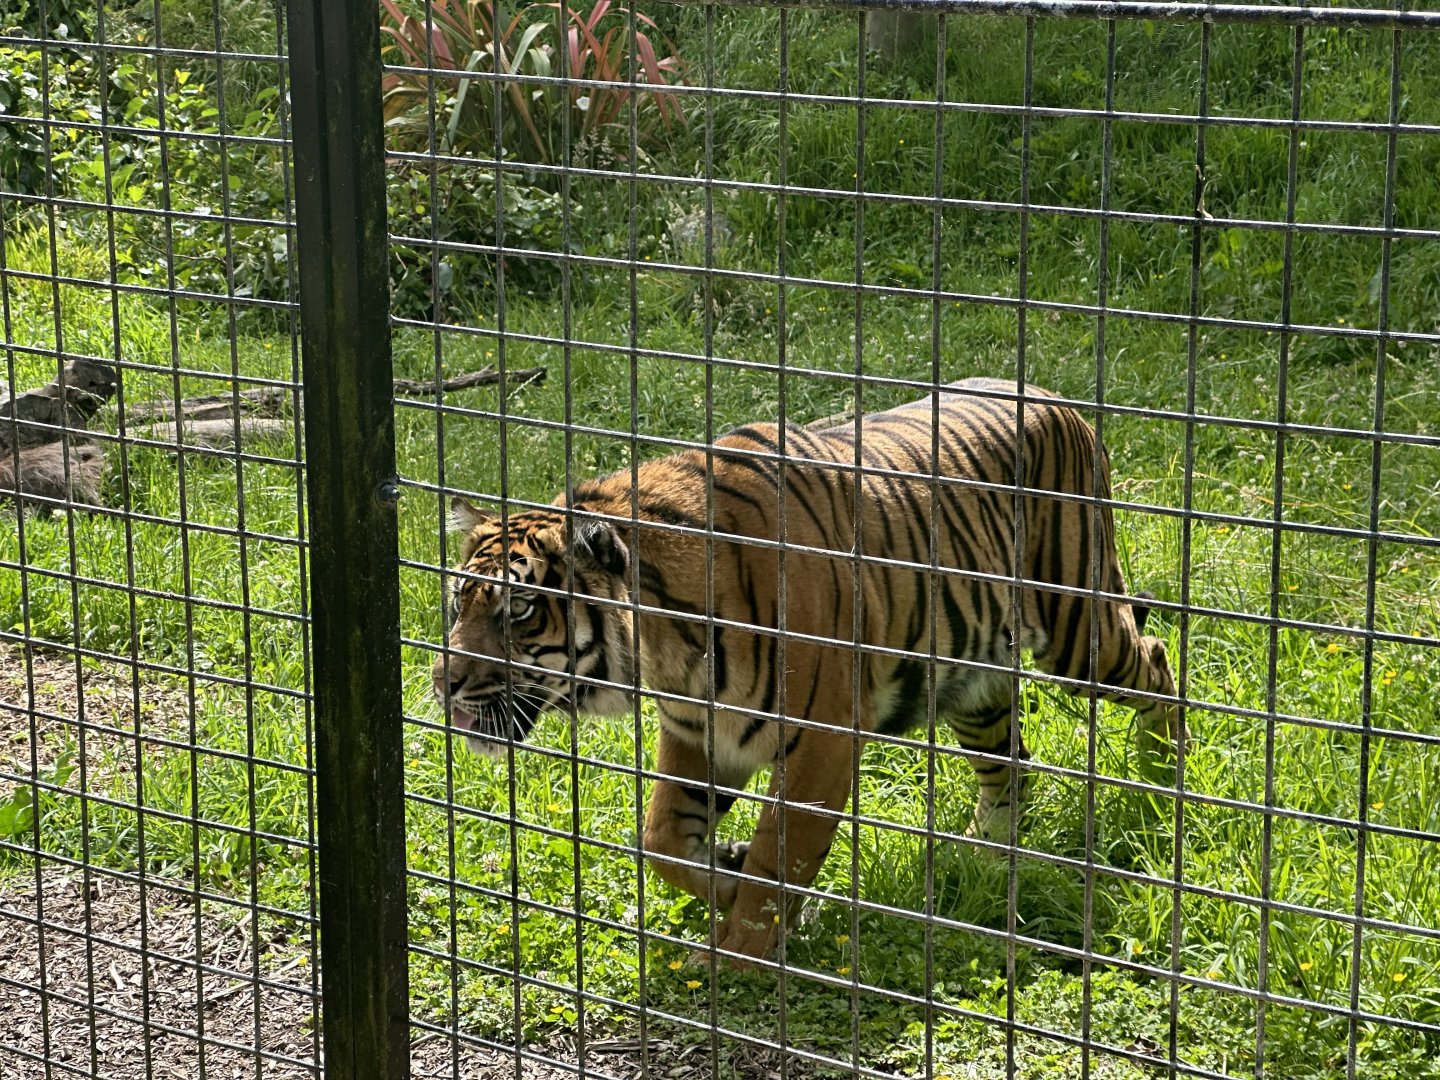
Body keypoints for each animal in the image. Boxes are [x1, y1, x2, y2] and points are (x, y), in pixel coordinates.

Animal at [433, 378, 1180, 961]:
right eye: (458, 603)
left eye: (520, 610)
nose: (443, 685)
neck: (667, 650)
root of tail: (1061, 402)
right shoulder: (702, 734)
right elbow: (662, 841)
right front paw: (725, 873)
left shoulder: (820, 742)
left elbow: (776, 860)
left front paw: (738, 953)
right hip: (974, 672)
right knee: (1010, 765)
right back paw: (987, 858)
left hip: (1080, 630)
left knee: (1156, 660)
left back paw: (1162, 775)